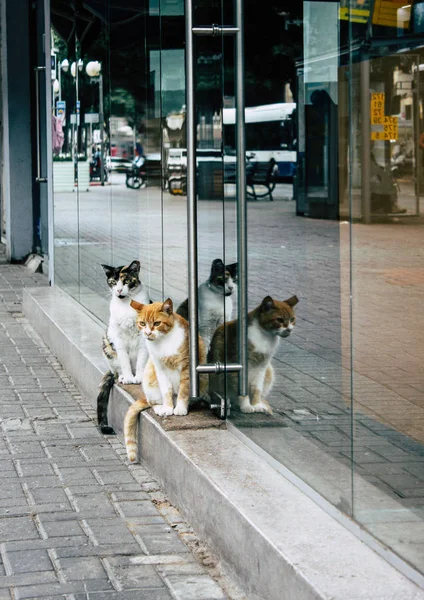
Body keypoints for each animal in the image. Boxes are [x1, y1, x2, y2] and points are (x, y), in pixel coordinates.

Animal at [97, 260, 150, 434]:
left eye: (126, 281)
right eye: (113, 282)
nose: (119, 290)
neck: (127, 305)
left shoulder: (144, 338)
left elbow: (141, 359)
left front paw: (138, 377)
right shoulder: (118, 338)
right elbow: (125, 360)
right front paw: (127, 377)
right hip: (106, 342)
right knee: (116, 369)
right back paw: (121, 376)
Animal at [122, 298, 207, 462]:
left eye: (157, 323)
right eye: (142, 323)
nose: (148, 333)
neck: (163, 342)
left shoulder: (186, 368)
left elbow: (183, 391)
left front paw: (180, 408)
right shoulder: (159, 368)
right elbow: (166, 392)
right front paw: (168, 408)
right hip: (149, 376)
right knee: (152, 402)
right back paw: (161, 409)